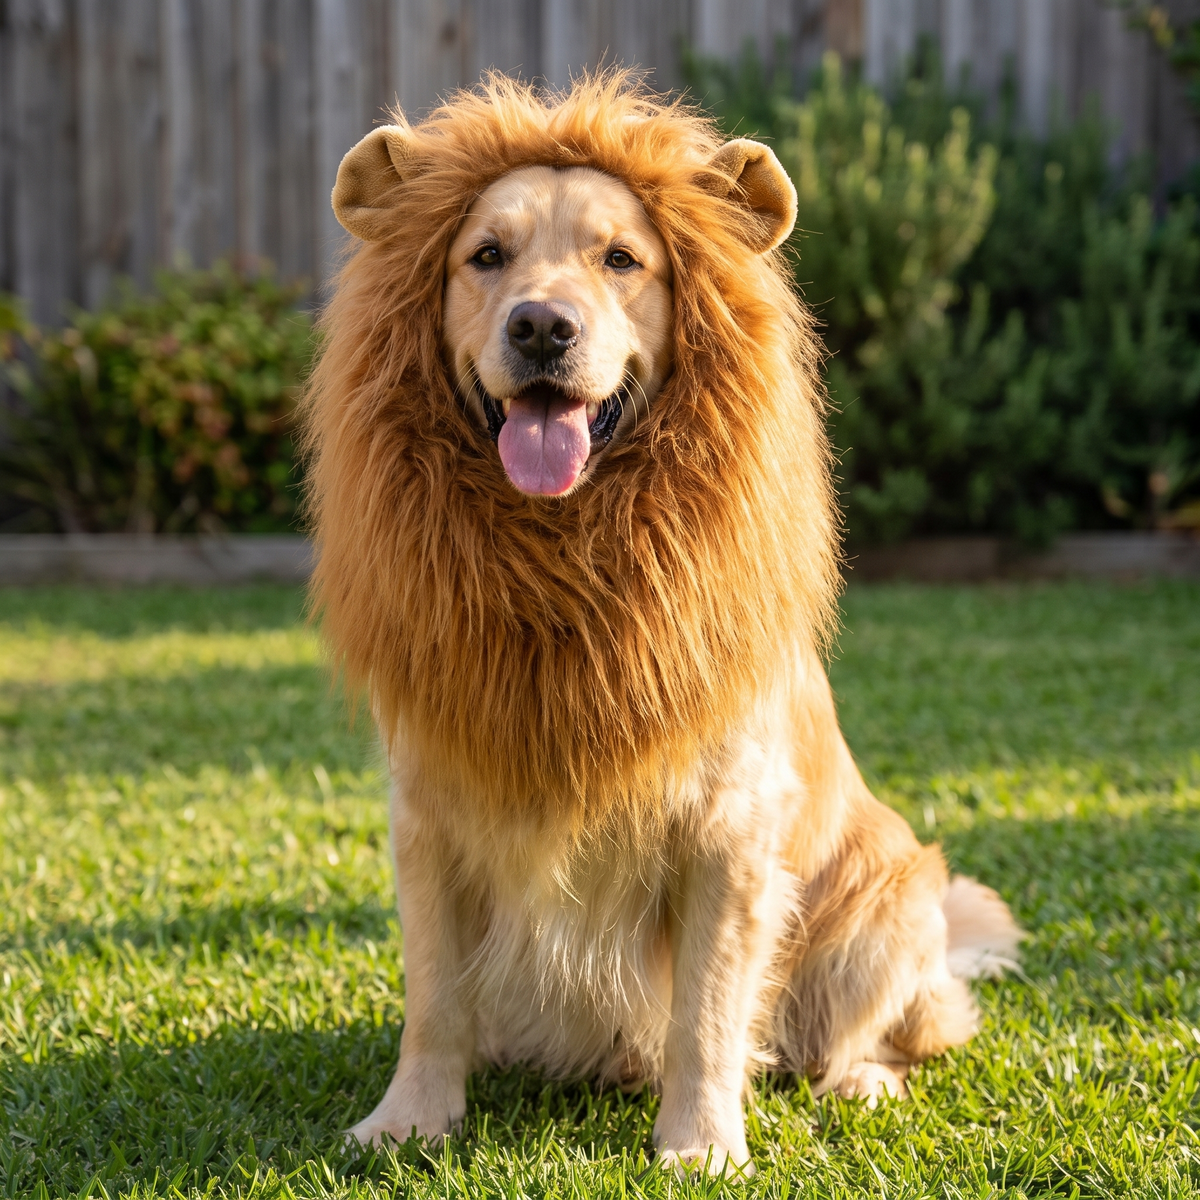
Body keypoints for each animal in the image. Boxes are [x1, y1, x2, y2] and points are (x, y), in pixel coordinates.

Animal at [302, 73, 1020, 1176]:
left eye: (622, 259)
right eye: (485, 256)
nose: (541, 328)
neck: (561, 551)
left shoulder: (726, 833)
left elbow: (706, 1015)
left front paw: (699, 1145)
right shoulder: (428, 812)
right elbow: (433, 1000)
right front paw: (409, 1120)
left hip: (889, 903)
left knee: (892, 1028)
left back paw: (858, 1080)